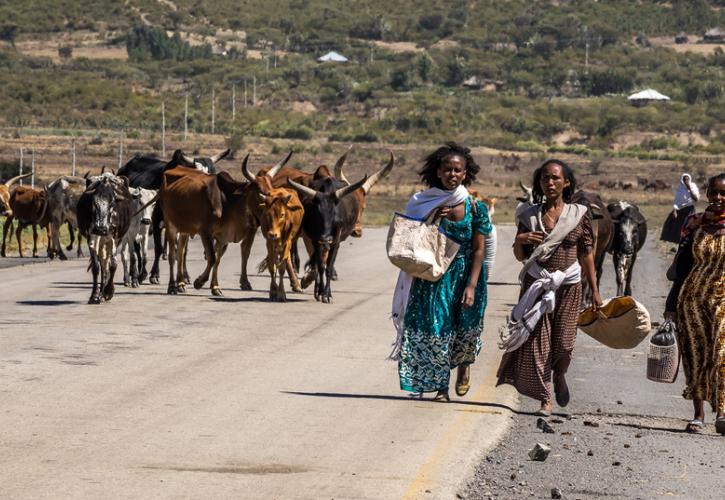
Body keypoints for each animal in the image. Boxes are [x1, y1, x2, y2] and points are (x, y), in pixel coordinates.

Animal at [78, 172, 136, 304]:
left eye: (112, 203)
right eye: (93, 203)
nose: (101, 228)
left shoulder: (114, 237)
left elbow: (113, 264)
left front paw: (109, 291)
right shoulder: (92, 237)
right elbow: (96, 266)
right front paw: (95, 295)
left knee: (107, 263)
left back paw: (105, 291)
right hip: (101, 241)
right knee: (103, 264)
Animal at [117, 147, 229, 286]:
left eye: (213, 175)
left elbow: (183, 251)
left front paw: (185, 276)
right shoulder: (155, 222)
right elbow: (158, 249)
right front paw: (154, 275)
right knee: (137, 249)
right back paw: (137, 274)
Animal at [286, 174, 368, 302]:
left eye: (335, 215)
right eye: (317, 215)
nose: (326, 238)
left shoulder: (335, 242)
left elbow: (328, 267)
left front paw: (327, 294)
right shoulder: (316, 240)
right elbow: (320, 266)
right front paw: (320, 292)